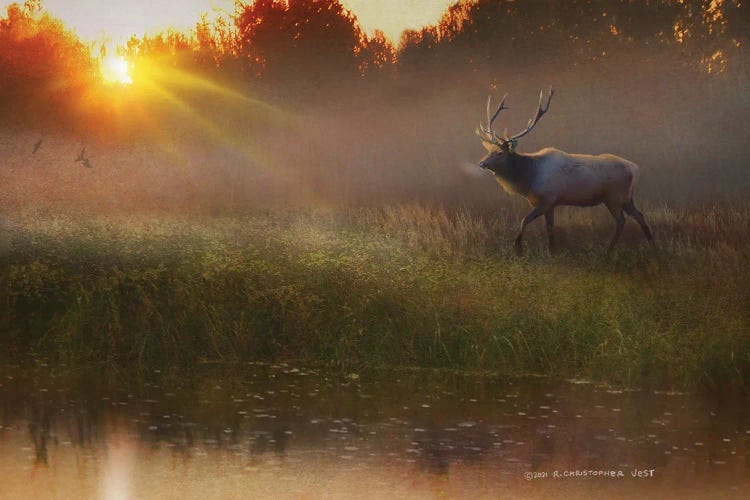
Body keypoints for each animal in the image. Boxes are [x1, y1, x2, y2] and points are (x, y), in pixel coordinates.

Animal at [478, 85, 656, 254]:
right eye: (489, 150)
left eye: (500, 153)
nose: (481, 163)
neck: (528, 178)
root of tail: (635, 169)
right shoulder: (551, 204)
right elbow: (550, 228)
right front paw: (552, 250)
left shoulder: (547, 199)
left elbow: (525, 220)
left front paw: (518, 248)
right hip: (626, 198)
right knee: (639, 216)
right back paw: (652, 246)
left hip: (613, 197)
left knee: (621, 221)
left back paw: (608, 251)